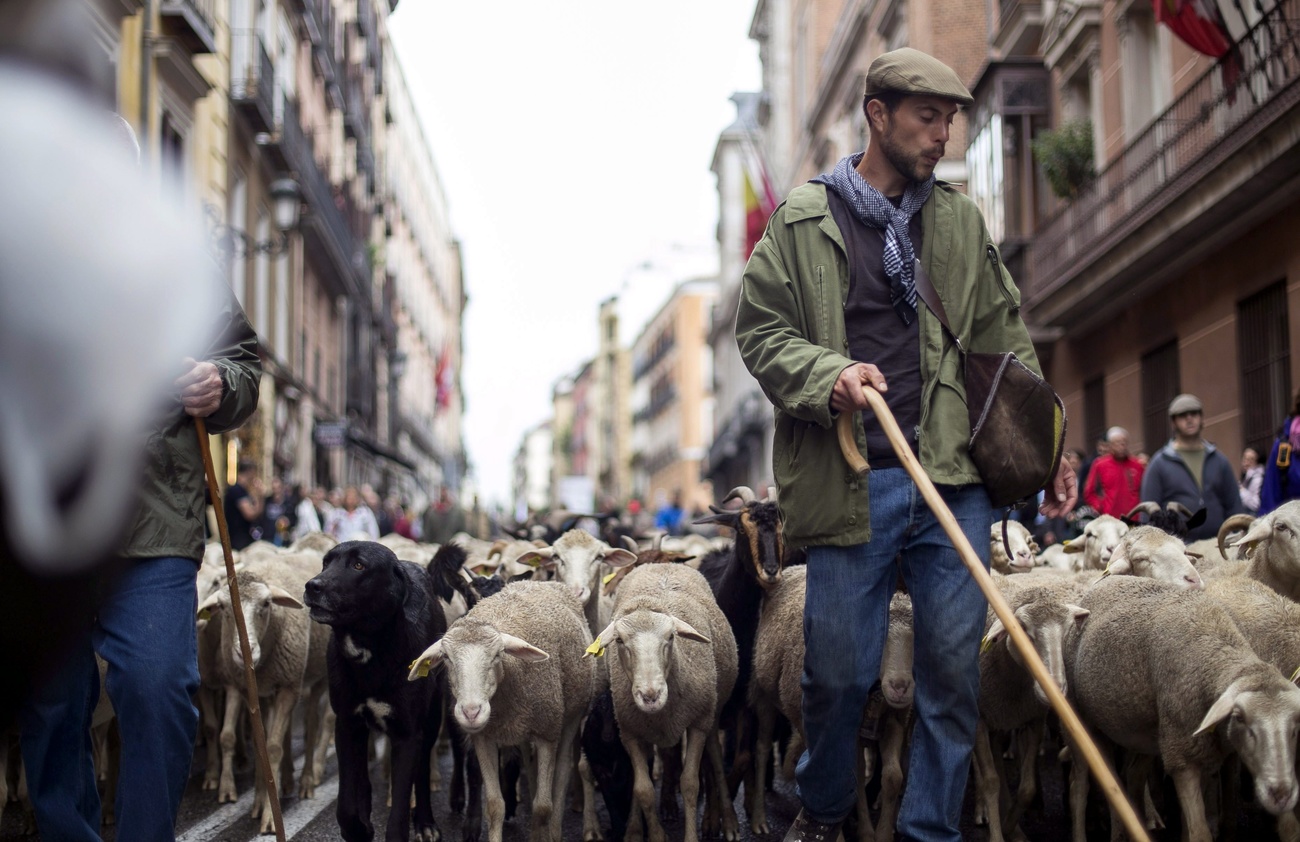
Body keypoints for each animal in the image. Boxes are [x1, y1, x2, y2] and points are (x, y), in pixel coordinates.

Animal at [302, 540, 447, 842]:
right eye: (326, 562)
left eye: (359, 565)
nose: (312, 586)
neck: (371, 650)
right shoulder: (347, 724)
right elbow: (346, 800)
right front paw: (357, 828)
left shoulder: (407, 735)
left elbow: (400, 808)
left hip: (431, 720)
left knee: (422, 771)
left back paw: (425, 821)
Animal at [408, 582, 595, 842]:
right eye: (446, 657)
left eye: (497, 655)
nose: (471, 712)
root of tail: (542, 582)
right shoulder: (484, 738)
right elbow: (495, 805)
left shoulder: (547, 733)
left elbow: (542, 806)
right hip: (526, 729)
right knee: (530, 766)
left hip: (570, 716)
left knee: (562, 774)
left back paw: (554, 831)